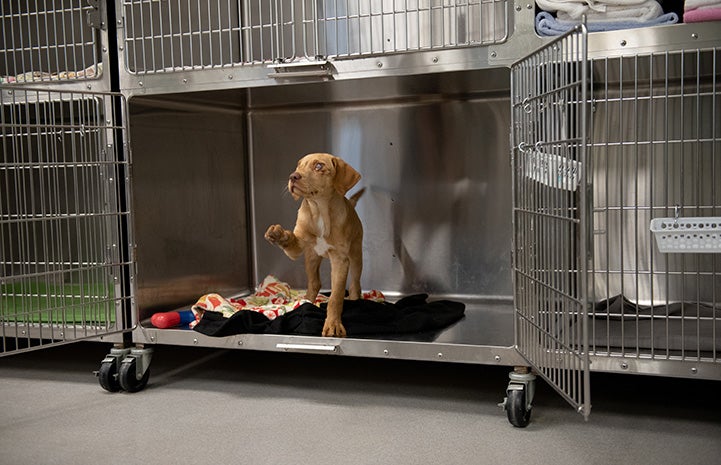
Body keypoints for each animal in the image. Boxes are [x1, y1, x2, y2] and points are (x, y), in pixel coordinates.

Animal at [264, 154, 362, 336]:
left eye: (319, 166)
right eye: (299, 166)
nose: (292, 176)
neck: (319, 211)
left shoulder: (340, 260)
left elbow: (335, 296)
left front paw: (333, 324)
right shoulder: (296, 249)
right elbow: (289, 241)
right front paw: (278, 235)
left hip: (356, 256)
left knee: (355, 285)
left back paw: (354, 299)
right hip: (311, 258)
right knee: (314, 283)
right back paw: (305, 302)